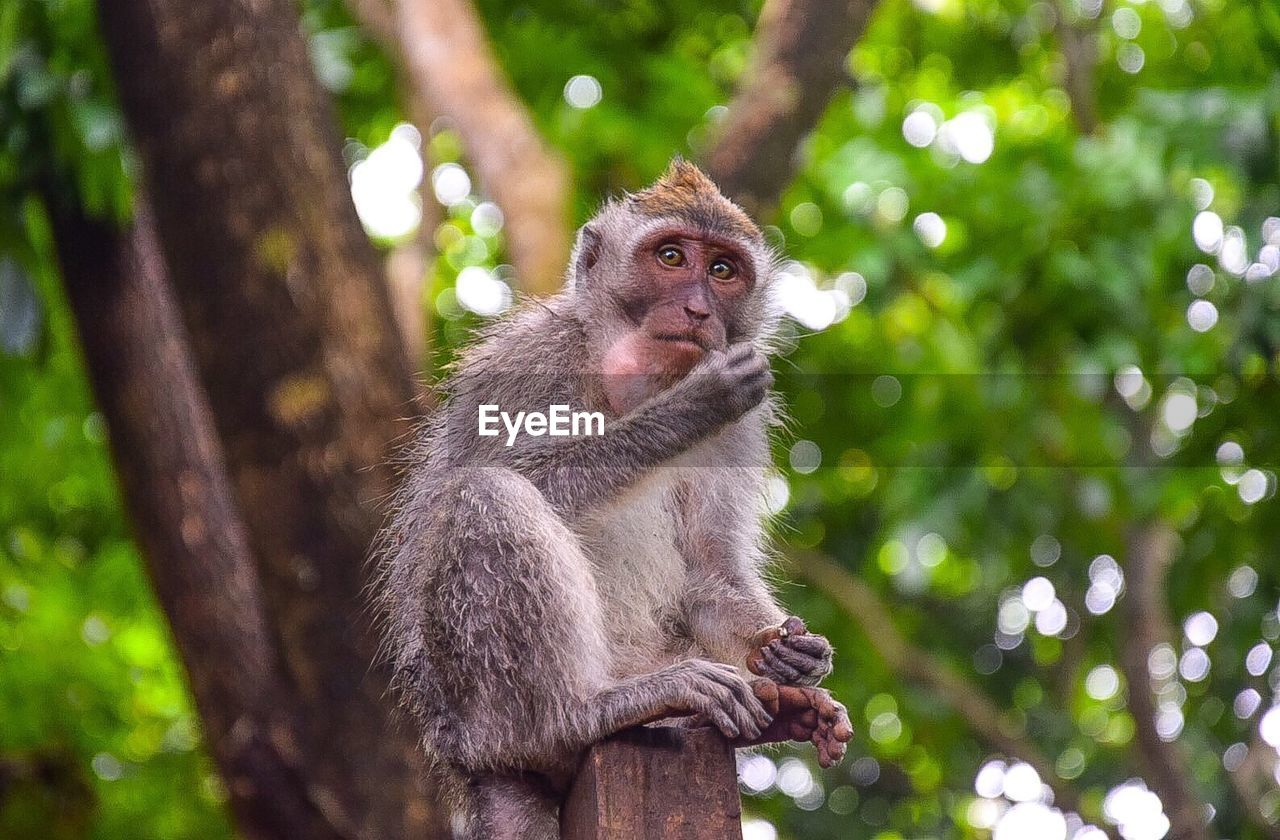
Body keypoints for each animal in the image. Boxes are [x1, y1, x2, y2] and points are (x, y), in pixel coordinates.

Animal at [371, 160, 849, 834]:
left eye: (723, 270)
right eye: (671, 257)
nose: (697, 308)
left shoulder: (741, 433)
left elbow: (710, 570)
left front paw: (785, 651)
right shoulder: (530, 364)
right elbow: (490, 478)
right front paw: (686, 410)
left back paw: (781, 707)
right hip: (468, 710)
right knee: (487, 495)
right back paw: (579, 715)